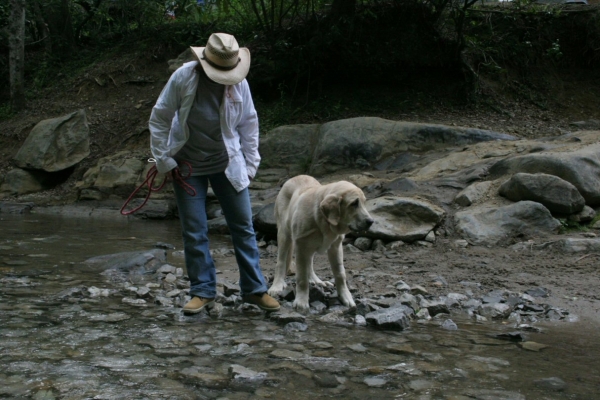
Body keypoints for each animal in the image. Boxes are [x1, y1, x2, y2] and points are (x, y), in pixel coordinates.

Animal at [268, 175, 372, 312]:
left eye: (364, 202)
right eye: (354, 203)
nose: (371, 221)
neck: (324, 221)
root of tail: (295, 177)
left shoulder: (335, 247)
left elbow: (340, 274)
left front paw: (346, 297)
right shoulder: (301, 246)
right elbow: (301, 278)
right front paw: (301, 301)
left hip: (309, 246)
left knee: (309, 264)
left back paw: (317, 281)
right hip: (284, 235)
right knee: (280, 262)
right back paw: (277, 286)